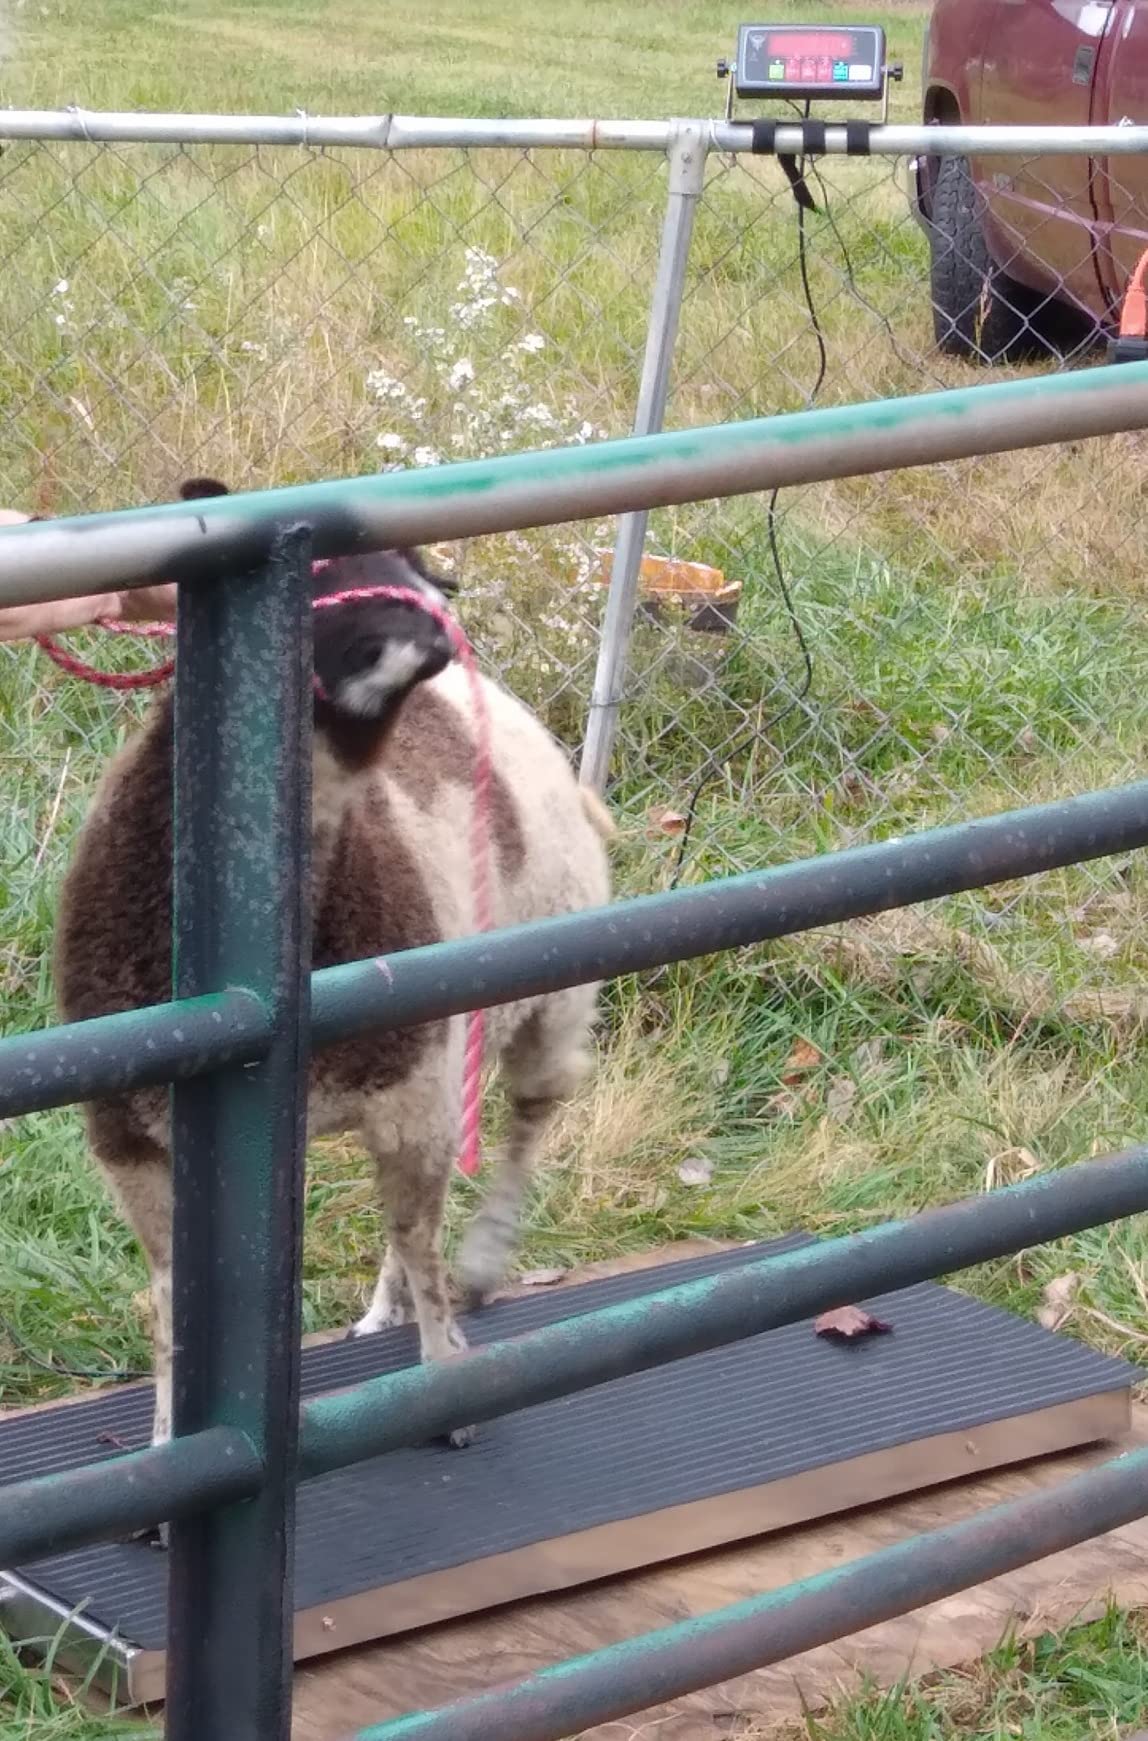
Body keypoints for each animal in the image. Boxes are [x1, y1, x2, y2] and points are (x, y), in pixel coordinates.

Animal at [54, 477, 613, 1456]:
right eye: (319, 570)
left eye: (423, 572)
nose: (432, 631)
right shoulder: (126, 1132)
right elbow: (169, 1302)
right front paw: (163, 1449)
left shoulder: (412, 1093)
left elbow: (419, 1237)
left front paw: (444, 1382)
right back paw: (382, 1313)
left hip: (549, 990)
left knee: (525, 1123)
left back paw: (483, 1259)